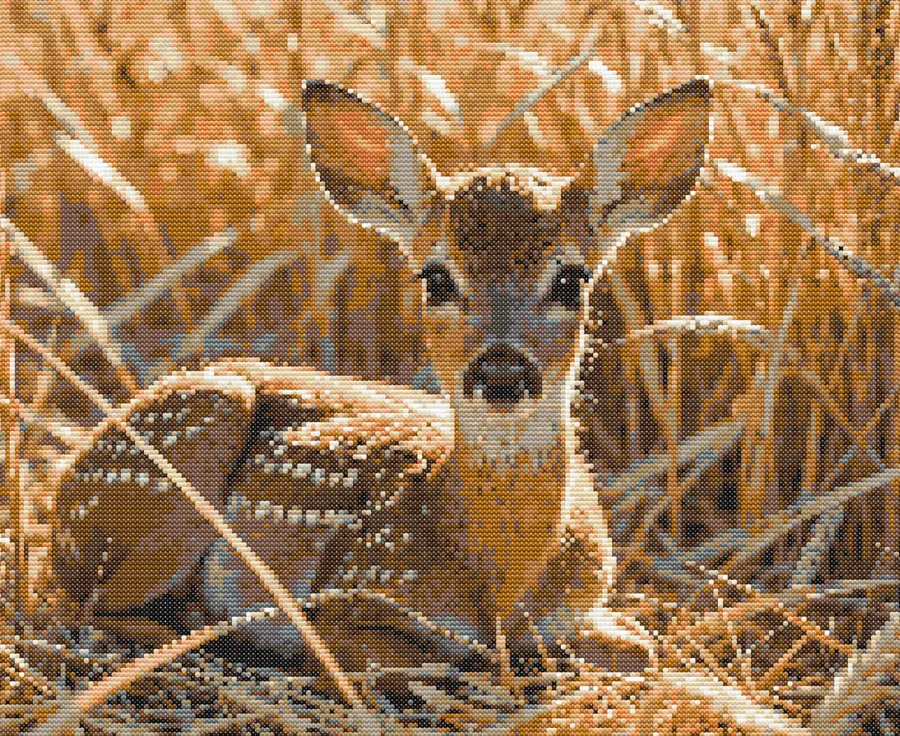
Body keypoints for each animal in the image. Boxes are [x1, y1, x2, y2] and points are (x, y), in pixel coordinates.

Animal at [51, 77, 711, 678]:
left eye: (571, 278)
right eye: (436, 277)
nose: (501, 371)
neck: (501, 582)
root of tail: (59, 500)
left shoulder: (584, 600)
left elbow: (640, 645)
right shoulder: (353, 589)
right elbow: (413, 658)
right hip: (175, 463)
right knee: (91, 610)